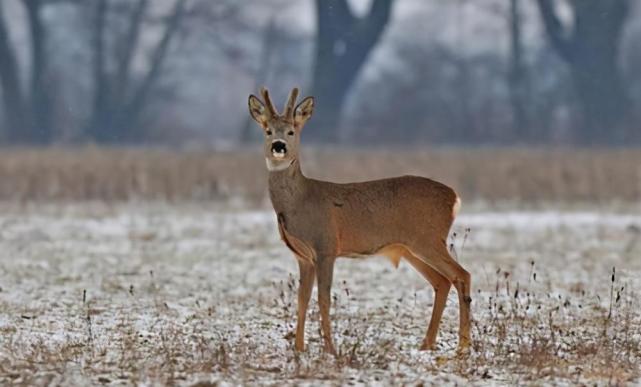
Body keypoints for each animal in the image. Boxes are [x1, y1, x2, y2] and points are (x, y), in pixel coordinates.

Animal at [246, 86, 470, 356]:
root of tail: (454, 197)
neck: (299, 202)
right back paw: (427, 343)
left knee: (462, 275)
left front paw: (330, 349)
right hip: (411, 247)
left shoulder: (326, 247)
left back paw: (463, 345)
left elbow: (323, 298)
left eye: (291, 131)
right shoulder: (303, 256)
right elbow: (302, 299)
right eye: (268, 130)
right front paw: (299, 348)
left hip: (428, 239)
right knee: (443, 281)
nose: (278, 146)